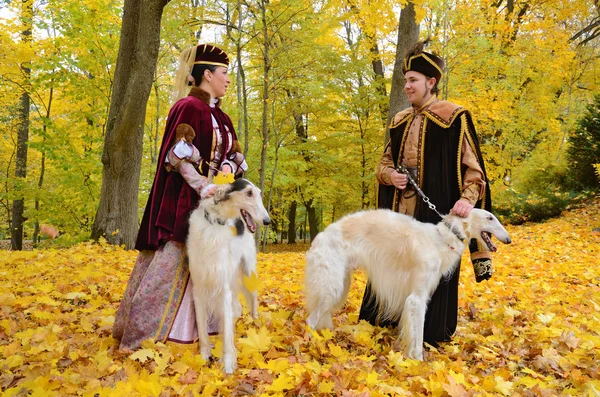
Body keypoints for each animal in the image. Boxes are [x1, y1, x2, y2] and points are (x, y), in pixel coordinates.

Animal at [188, 178, 272, 372]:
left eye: (259, 193)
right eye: (249, 193)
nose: (267, 221)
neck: (214, 225)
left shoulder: (224, 287)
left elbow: (226, 333)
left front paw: (227, 365)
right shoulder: (198, 288)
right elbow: (202, 330)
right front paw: (203, 358)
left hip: (248, 273)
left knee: (253, 303)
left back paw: (255, 324)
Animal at [304, 207, 510, 358]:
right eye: (490, 218)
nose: (508, 239)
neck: (442, 239)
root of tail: (321, 235)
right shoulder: (416, 298)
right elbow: (417, 335)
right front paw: (417, 362)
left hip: (341, 284)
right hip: (331, 286)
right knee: (310, 320)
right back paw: (311, 346)